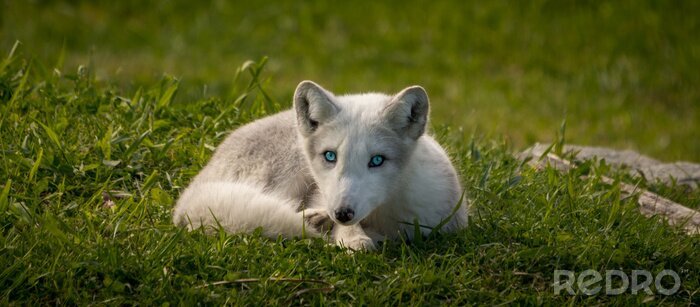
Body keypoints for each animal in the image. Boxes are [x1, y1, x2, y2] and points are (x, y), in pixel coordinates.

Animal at [174, 80, 468, 251]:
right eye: (330, 156)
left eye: (376, 160)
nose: (342, 213)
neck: (382, 216)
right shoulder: (322, 194)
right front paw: (352, 239)